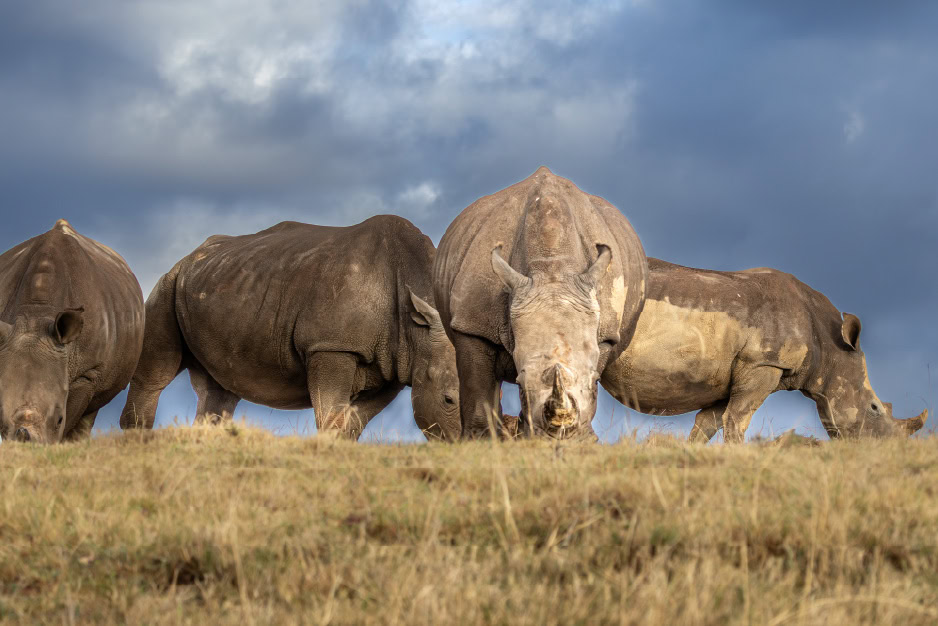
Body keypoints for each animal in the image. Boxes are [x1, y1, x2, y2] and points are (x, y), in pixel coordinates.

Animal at [0, 220, 145, 443]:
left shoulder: (87, 373)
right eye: (1, 422)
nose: (27, 443)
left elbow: (73, 416)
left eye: (59, 419)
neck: (36, 314)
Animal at [119, 216, 460, 440]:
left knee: (220, 390)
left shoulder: (396, 361)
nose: (463, 445)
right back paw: (137, 440)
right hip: (169, 282)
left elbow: (353, 421)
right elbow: (331, 413)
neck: (416, 329)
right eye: (448, 400)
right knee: (156, 372)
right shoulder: (331, 345)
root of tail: (189, 256)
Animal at [433, 167, 647, 439]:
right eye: (520, 387)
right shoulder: (472, 323)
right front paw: (480, 442)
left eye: (595, 384)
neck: (551, 267)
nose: (558, 440)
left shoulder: (606, 332)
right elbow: (477, 391)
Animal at [601, 258, 928, 442]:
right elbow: (737, 419)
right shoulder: (763, 363)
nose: (890, 449)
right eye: (874, 408)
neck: (829, 348)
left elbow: (708, 424)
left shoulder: (727, 377)